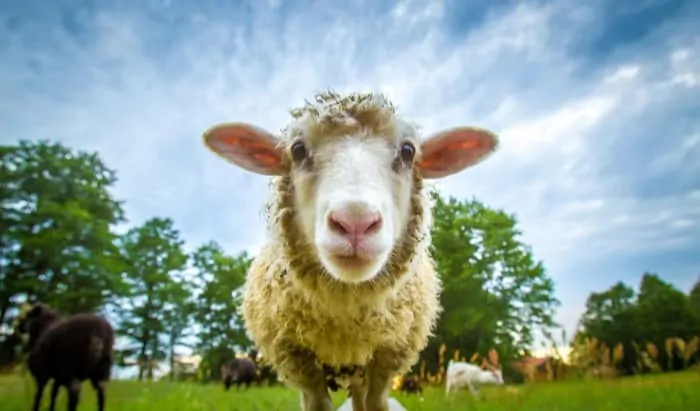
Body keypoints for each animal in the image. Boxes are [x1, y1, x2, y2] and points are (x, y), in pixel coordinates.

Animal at [202, 90, 499, 411]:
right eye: (297, 150)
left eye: (408, 152)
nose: (355, 220)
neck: (346, 322)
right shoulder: (297, 359)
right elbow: (318, 404)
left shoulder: (389, 354)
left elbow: (376, 403)